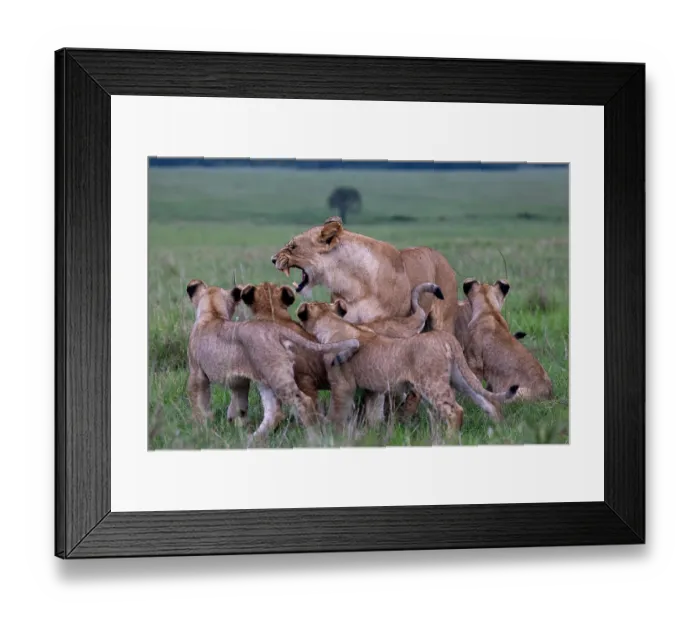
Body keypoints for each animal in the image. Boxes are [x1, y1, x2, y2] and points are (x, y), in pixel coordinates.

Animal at [185, 279, 360, 441]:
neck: (212, 313)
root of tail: (276, 329)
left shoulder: (196, 373)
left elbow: (198, 403)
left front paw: (200, 430)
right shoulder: (239, 380)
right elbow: (239, 404)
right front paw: (234, 423)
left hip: (278, 375)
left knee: (304, 402)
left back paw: (313, 438)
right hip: (266, 379)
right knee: (274, 412)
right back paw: (252, 439)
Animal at [295, 300, 519, 433]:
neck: (333, 323)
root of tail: (445, 337)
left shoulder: (342, 384)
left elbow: (337, 412)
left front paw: (329, 432)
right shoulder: (374, 389)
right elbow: (373, 414)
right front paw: (375, 434)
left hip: (431, 383)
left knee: (455, 410)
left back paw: (450, 438)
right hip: (462, 379)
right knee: (489, 402)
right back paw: (500, 431)